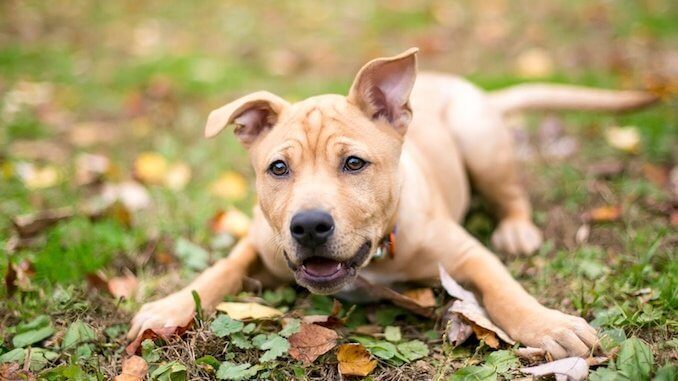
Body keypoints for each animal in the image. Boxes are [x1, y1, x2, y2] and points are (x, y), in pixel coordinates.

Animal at [129, 48, 660, 360]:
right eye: (278, 169)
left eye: (354, 163)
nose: (309, 226)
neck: (376, 258)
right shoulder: (261, 243)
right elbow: (221, 268)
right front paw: (170, 306)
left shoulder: (467, 254)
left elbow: (504, 291)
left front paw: (546, 324)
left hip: (481, 141)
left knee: (511, 194)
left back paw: (517, 229)